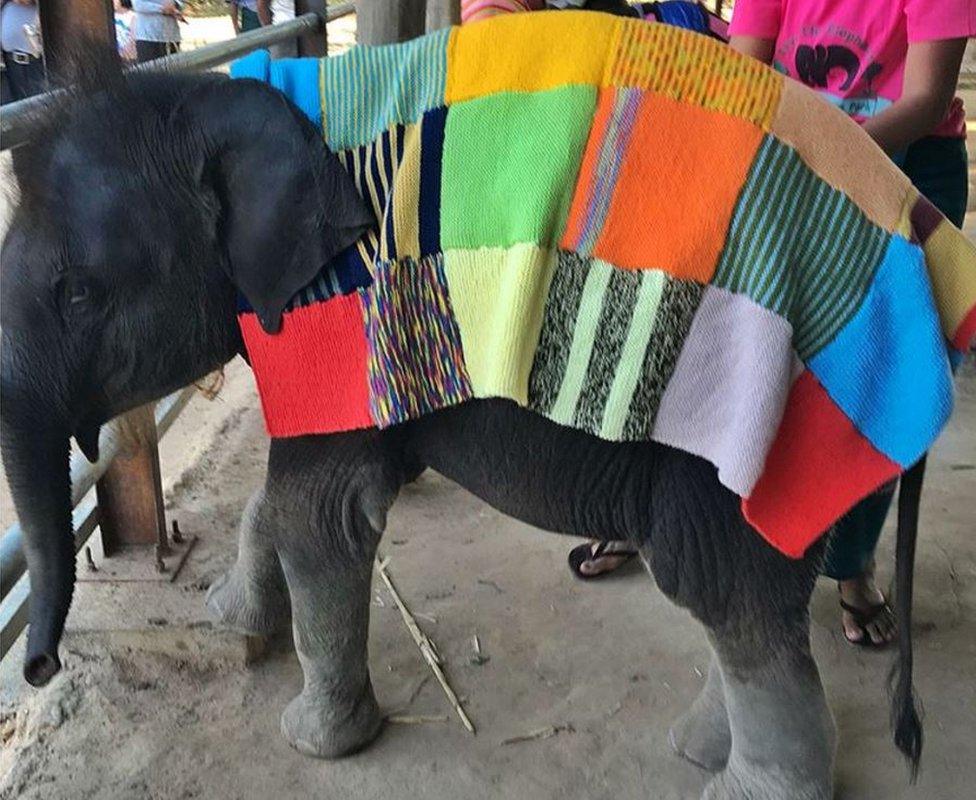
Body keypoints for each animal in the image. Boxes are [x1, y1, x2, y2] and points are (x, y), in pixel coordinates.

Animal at [1, 53, 932, 796]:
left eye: (79, 294)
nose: (37, 668)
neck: (205, 93)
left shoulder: (342, 307)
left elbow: (319, 513)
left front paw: (314, 743)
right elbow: (291, 496)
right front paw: (230, 619)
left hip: (759, 421)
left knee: (720, 589)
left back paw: (739, 786)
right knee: (741, 603)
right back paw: (700, 749)